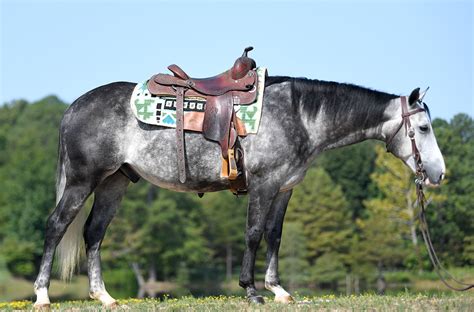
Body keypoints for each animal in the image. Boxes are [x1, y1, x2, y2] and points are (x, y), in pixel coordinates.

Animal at [33, 76, 444, 308]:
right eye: (423, 128)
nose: (438, 173)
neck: (299, 116)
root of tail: (74, 107)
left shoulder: (284, 189)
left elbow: (274, 235)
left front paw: (278, 290)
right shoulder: (263, 184)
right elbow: (253, 233)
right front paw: (251, 290)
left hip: (114, 182)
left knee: (93, 233)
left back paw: (104, 296)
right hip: (82, 181)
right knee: (56, 226)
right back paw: (42, 296)